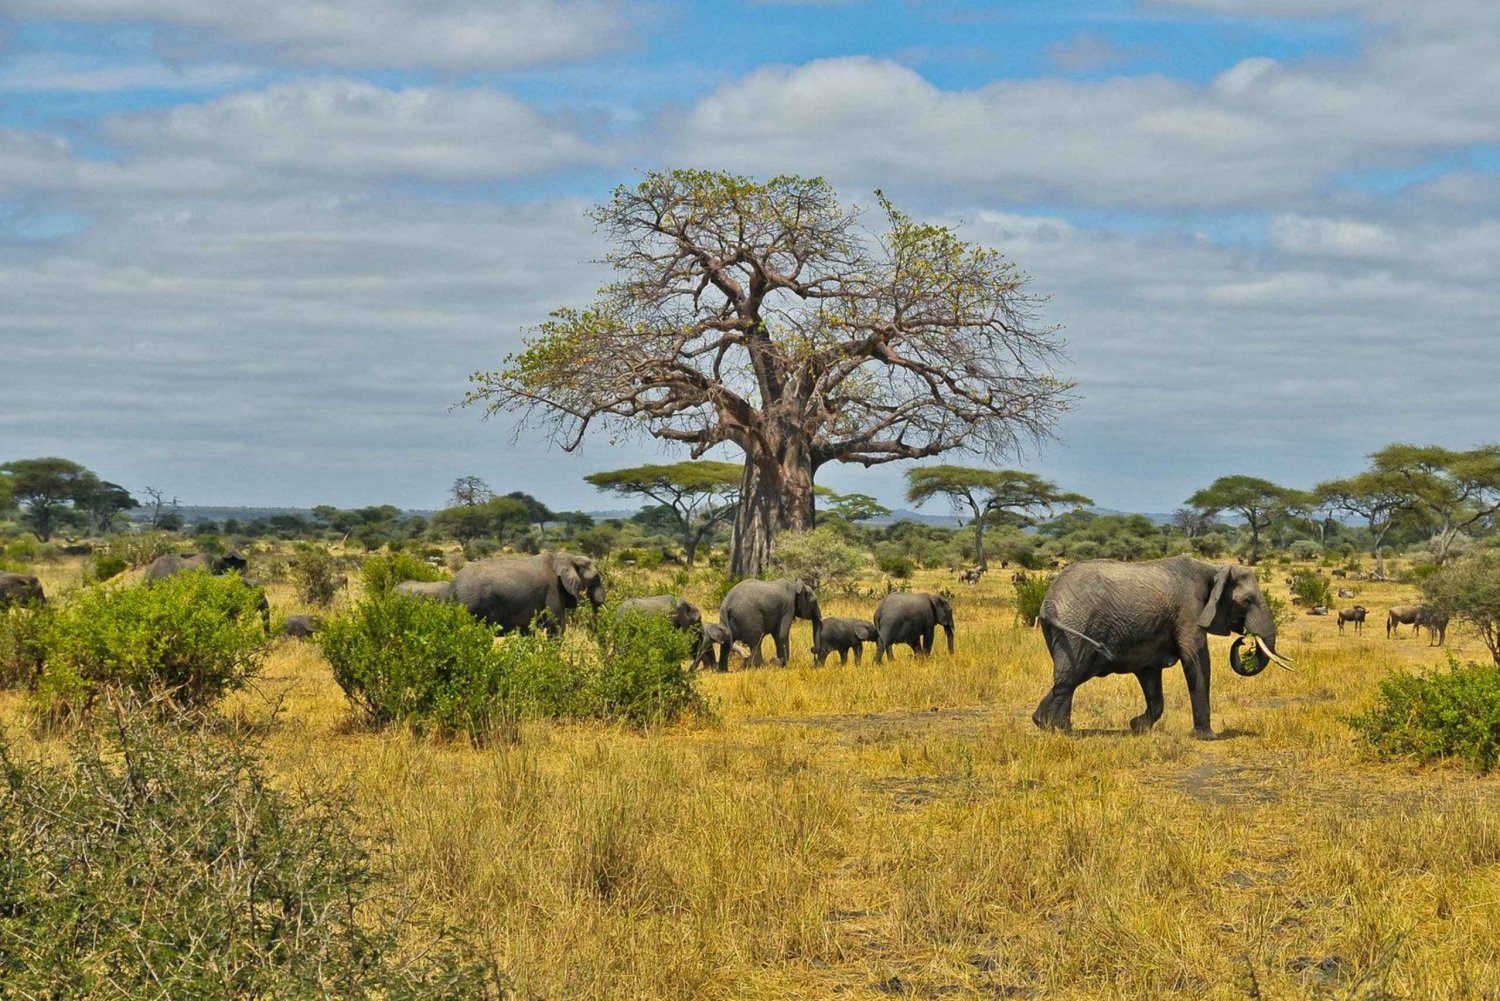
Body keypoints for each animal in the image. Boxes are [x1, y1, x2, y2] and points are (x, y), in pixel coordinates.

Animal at [450, 552, 603, 639]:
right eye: (596, 578)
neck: (567, 557)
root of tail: (453, 584)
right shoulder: (552, 591)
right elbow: (557, 627)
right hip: (473, 605)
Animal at [1032, 561, 1290, 741]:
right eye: (1248, 600)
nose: (1245, 641)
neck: (1213, 568)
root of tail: (1049, 603)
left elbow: (1151, 676)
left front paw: (1137, 726)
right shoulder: (1190, 611)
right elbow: (1197, 659)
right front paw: (1208, 737)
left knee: (1068, 677)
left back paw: (1052, 726)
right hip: (1078, 626)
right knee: (1071, 676)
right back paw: (1053, 727)